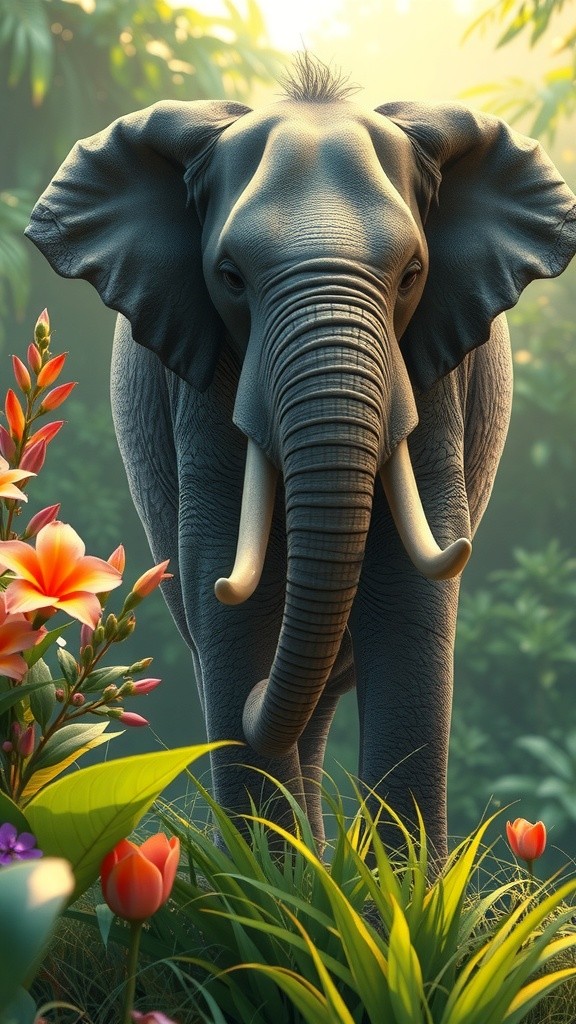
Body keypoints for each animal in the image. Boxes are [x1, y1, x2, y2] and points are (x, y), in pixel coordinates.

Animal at [26, 56, 576, 861]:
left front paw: (391, 890)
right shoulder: (203, 369)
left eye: (412, 274)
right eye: (230, 276)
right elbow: (224, 567)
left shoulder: (433, 367)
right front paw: (271, 886)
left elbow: (410, 583)